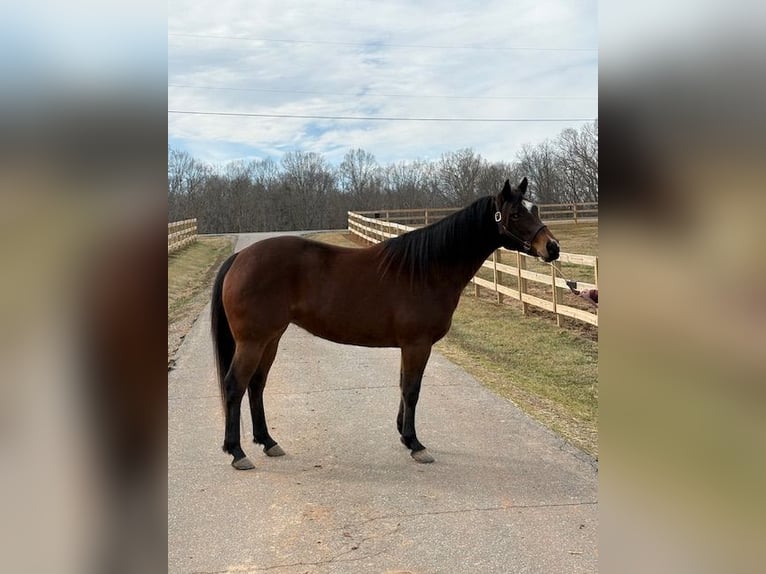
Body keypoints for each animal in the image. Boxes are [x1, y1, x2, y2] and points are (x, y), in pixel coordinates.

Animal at [211, 177, 560, 470]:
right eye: (515, 214)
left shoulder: (410, 346)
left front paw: (404, 436)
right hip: (253, 341)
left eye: (535, 208)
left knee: (256, 385)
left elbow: (404, 385)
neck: (428, 269)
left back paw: (268, 442)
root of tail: (240, 257)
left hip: (271, 339)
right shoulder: (417, 344)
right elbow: (412, 390)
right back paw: (237, 452)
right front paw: (416, 444)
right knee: (235, 385)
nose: (552, 248)